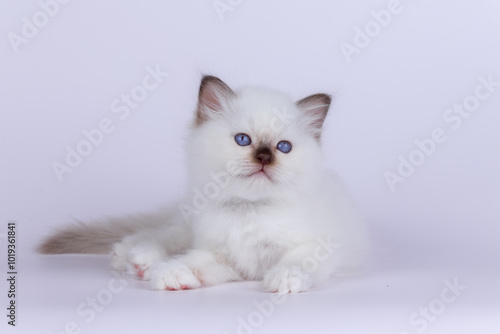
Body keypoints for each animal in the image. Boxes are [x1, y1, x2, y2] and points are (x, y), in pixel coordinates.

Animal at [38, 75, 368, 292]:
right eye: (243, 140)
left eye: (283, 147)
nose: (264, 157)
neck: (248, 211)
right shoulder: (220, 255)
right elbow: (194, 261)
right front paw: (171, 274)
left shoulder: (318, 245)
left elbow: (296, 261)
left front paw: (284, 280)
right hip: (187, 225)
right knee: (164, 234)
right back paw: (136, 258)